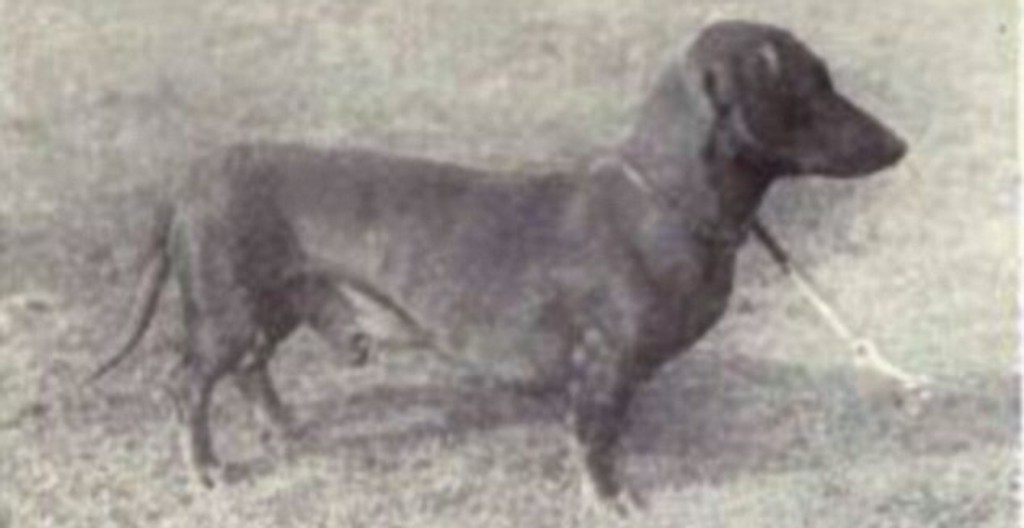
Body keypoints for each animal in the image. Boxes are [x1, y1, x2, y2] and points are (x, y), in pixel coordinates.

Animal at [93, 20, 906, 513]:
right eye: (813, 83)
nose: (900, 145)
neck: (662, 199)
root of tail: (192, 175)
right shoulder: (602, 364)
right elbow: (596, 440)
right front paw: (612, 499)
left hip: (276, 306)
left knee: (253, 372)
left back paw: (285, 428)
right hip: (228, 310)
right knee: (188, 386)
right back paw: (206, 469)